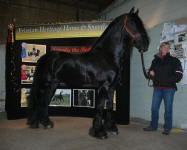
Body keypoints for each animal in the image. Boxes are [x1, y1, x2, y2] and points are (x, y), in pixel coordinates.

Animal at [27, 7, 150, 139]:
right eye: (132, 23)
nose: (145, 44)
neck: (107, 56)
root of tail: (43, 58)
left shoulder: (112, 88)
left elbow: (109, 107)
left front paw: (111, 128)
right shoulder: (103, 86)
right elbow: (100, 108)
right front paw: (98, 132)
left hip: (53, 85)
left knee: (45, 101)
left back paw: (46, 123)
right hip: (44, 84)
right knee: (38, 101)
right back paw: (34, 123)